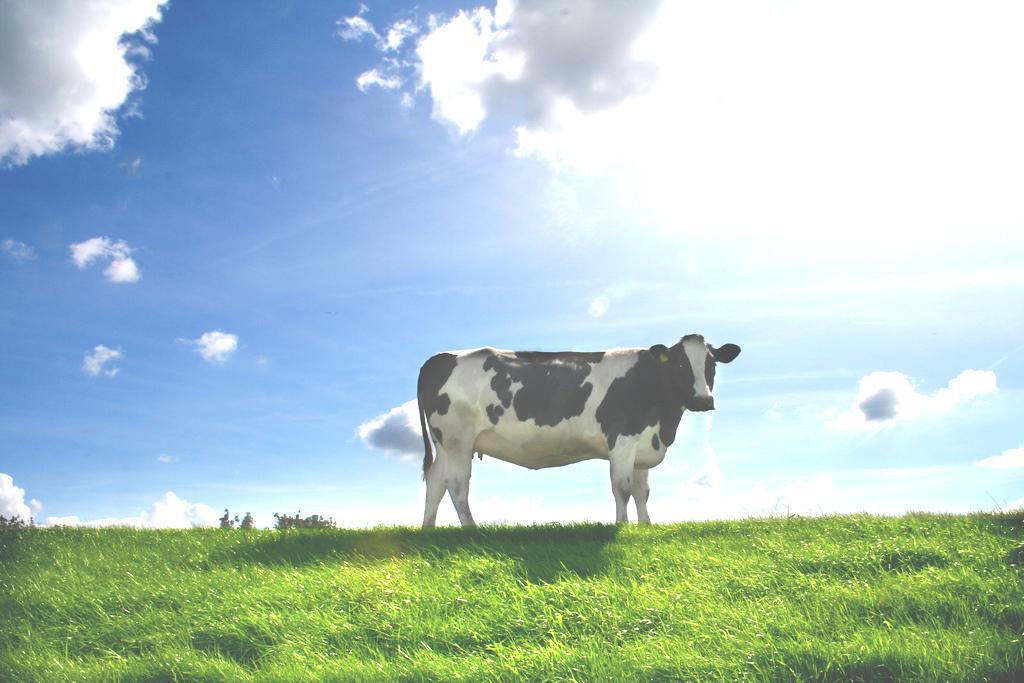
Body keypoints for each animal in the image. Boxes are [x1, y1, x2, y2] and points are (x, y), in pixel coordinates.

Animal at [415, 333, 745, 528]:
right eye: (679, 365)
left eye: (712, 364)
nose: (703, 400)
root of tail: (441, 357)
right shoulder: (621, 440)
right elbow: (622, 488)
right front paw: (623, 527)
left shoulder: (642, 445)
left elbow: (642, 492)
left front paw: (646, 527)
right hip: (458, 439)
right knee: (457, 485)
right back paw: (471, 529)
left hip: (445, 443)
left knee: (436, 482)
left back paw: (429, 529)